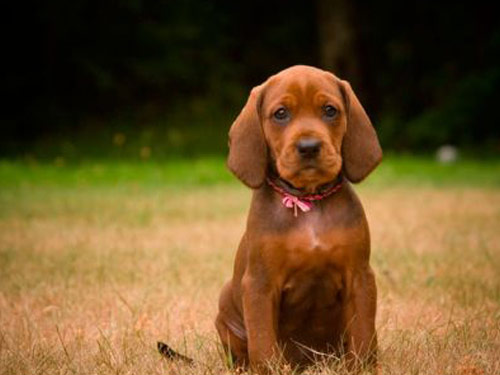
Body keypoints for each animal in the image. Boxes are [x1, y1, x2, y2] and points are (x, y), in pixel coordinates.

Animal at [216, 65, 382, 374]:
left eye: (330, 110)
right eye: (281, 113)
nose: (308, 147)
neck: (308, 203)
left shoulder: (360, 277)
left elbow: (363, 335)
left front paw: (362, 368)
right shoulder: (259, 284)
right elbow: (262, 343)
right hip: (225, 308)